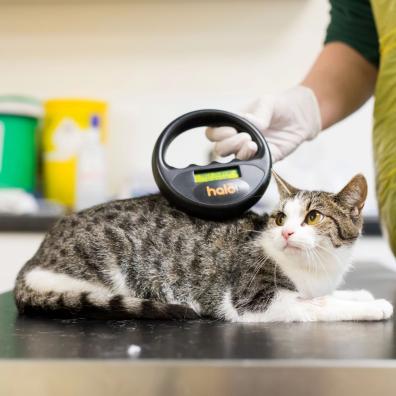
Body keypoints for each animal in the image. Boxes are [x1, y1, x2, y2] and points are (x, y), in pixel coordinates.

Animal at [13, 172, 392, 322]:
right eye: (281, 217)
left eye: (313, 217)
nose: (285, 233)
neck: (317, 267)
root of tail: (33, 260)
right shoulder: (256, 301)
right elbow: (319, 305)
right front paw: (372, 306)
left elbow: (326, 294)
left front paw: (359, 294)